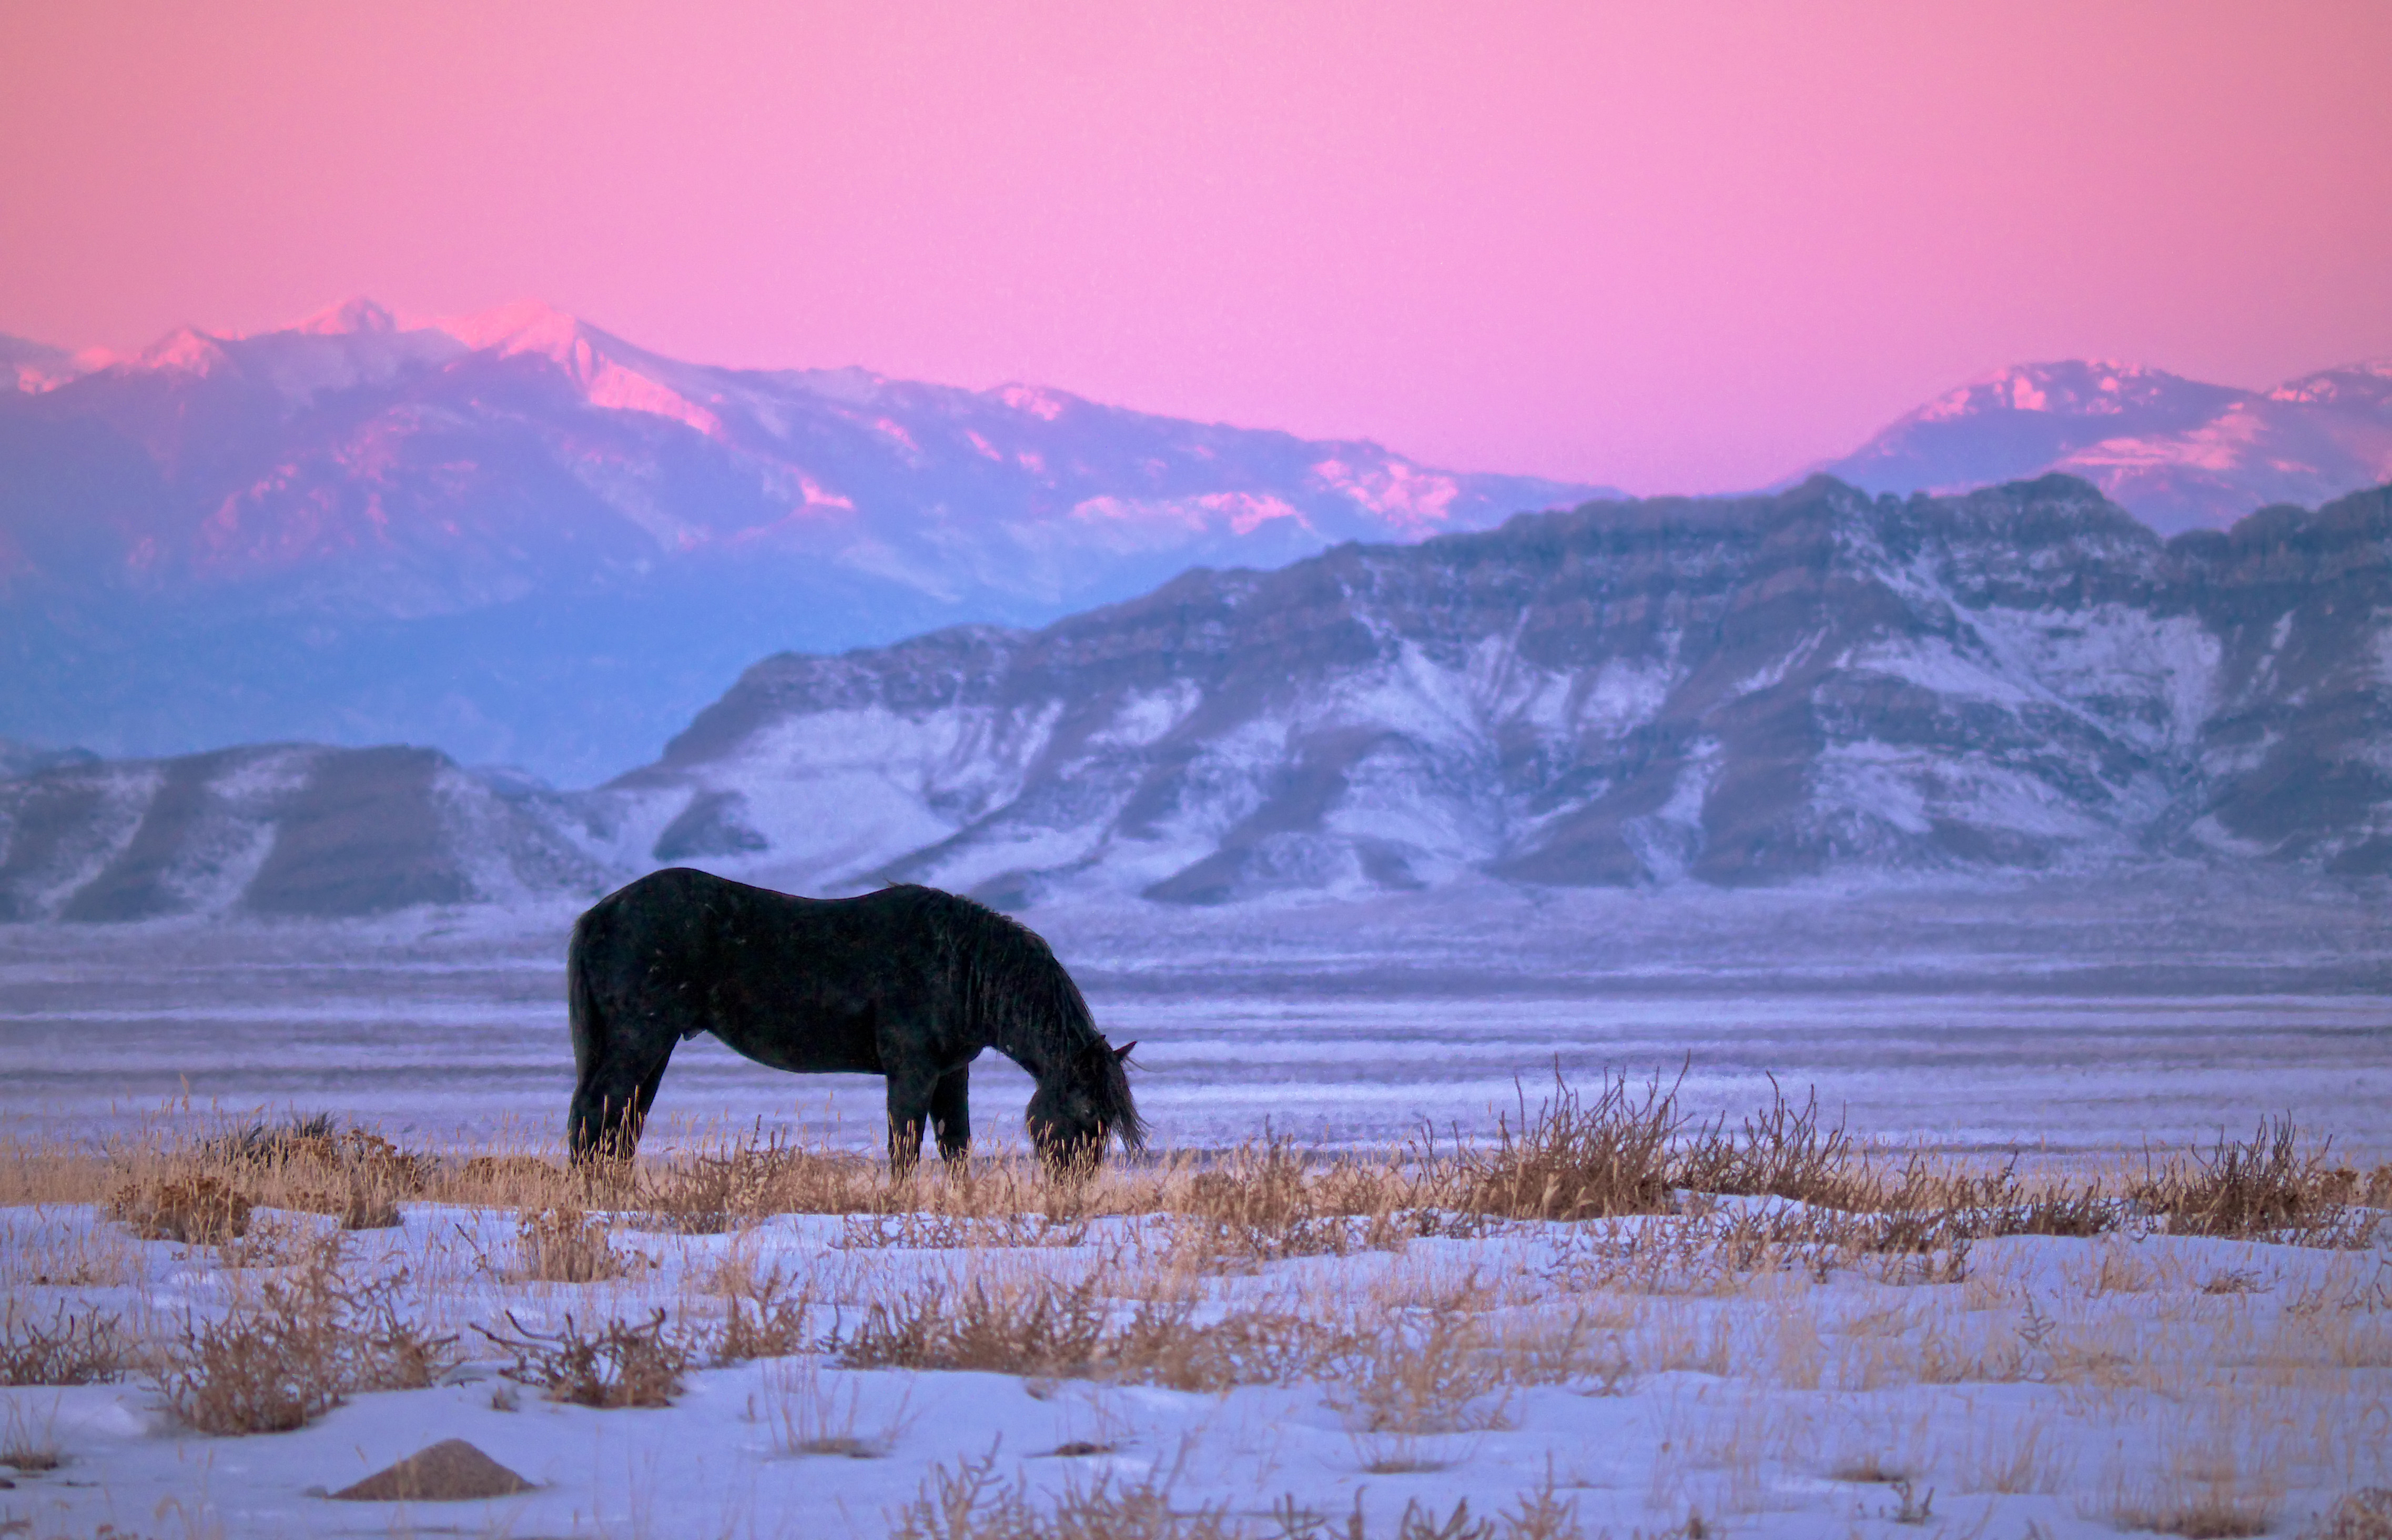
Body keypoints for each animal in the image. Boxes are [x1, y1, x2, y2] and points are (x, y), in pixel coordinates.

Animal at [564, 867, 1143, 1172]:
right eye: (1086, 1111)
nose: (1074, 1189)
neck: (959, 965)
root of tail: (602, 913)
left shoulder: (952, 1073)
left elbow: (955, 1145)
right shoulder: (912, 1071)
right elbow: (905, 1146)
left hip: (654, 1047)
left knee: (620, 1124)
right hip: (640, 1039)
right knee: (596, 1115)